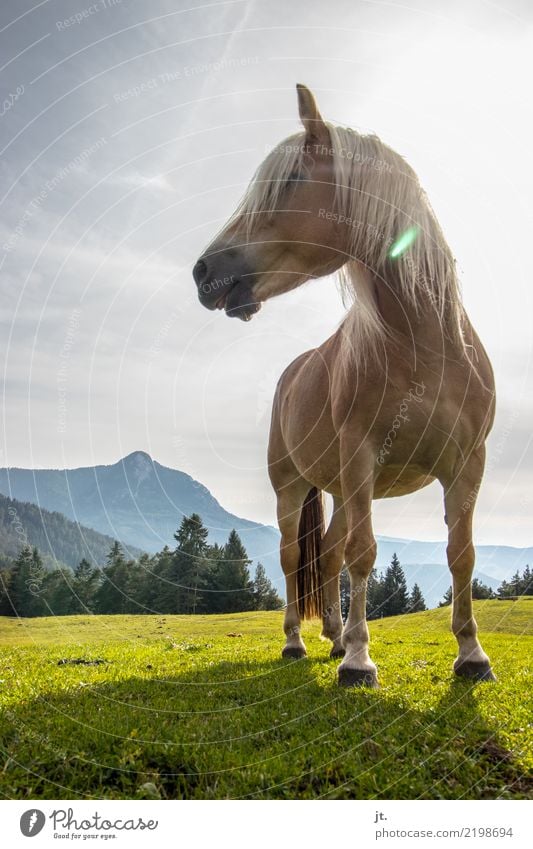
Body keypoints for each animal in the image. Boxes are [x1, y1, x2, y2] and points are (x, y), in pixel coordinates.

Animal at [193, 83, 496, 684]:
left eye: (289, 180)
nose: (203, 271)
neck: (426, 348)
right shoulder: (361, 457)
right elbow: (365, 552)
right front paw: (360, 660)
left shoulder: (467, 465)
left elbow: (461, 553)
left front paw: (471, 654)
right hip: (293, 485)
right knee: (295, 559)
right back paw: (298, 642)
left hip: (337, 489)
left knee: (328, 556)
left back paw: (332, 637)